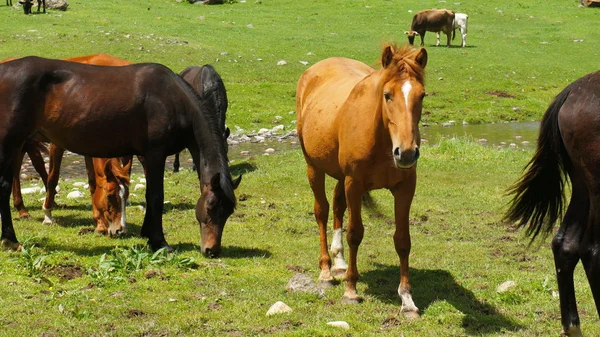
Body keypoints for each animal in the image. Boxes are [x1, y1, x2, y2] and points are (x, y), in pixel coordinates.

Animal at [0, 56, 240, 256]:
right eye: (211, 206)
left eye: (229, 211)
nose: (211, 250)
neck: (172, 99)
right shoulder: (156, 154)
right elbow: (156, 196)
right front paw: (159, 242)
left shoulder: (144, 156)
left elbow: (148, 195)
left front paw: (146, 233)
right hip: (11, 143)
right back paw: (11, 240)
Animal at [296, 44, 426, 316]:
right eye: (387, 95)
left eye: (422, 96)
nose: (407, 152)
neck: (382, 139)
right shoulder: (354, 184)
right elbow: (355, 233)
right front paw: (351, 290)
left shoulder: (405, 187)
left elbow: (403, 240)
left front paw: (407, 300)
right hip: (314, 167)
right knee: (322, 211)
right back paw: (326, 271)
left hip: (339, 175)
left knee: (337, 207)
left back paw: (339, 262)